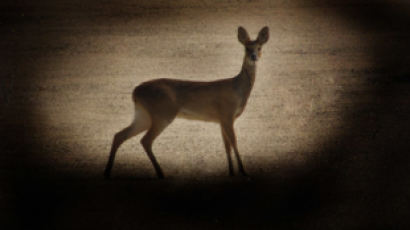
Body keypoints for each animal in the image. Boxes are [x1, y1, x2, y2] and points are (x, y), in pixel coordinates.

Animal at [104, 26, 270, 179]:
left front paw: (231, 172)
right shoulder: (227, 114)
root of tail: (135, 92)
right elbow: (234, 143)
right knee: (145, 140)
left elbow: (226, 146)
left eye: (259, 47)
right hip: (162, 113)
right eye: (246, 48)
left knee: (119, 135)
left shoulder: (222, 120)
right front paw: (244, 172)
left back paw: (108, 171)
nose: (254, 56)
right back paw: (161, 173)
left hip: (144, 115)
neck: (238, 90)